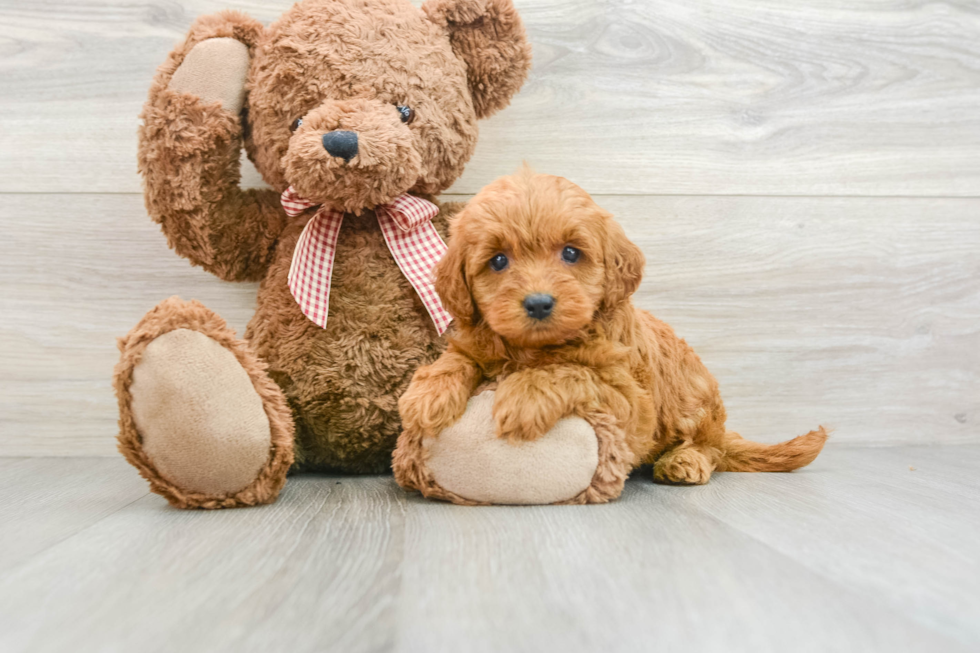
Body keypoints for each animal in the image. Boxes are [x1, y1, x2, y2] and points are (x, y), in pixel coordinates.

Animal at [398, 171, 828, 492]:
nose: (538, 303)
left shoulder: (630, 400)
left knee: (711, 447)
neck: (534, 348)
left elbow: (571, 370)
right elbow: (456, 359)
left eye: (571, 252)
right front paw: (426, 396)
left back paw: (684, 460)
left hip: (693, 401)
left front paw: (524, 396)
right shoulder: (477, 342)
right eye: (498, 260)